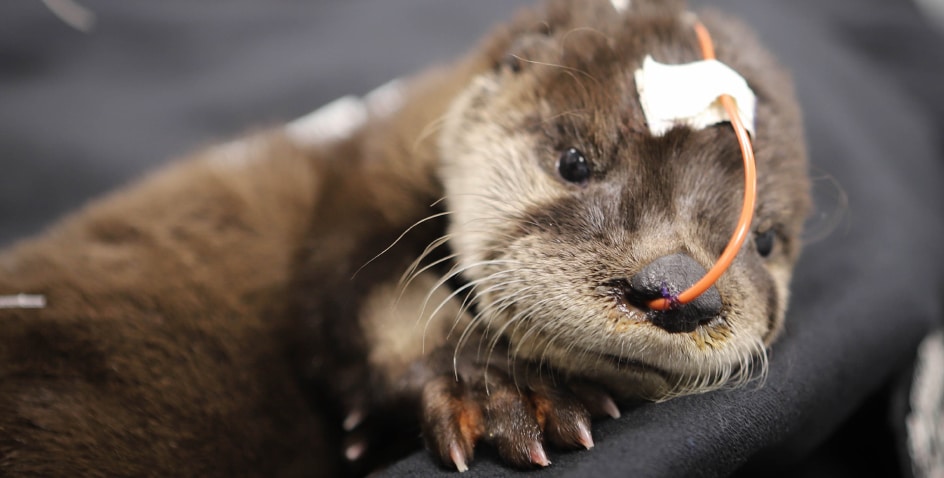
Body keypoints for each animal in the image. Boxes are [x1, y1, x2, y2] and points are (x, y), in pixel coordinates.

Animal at [0, 0, 809, 476]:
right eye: (575, 161)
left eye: (766, 241)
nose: (675, 286)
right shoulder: (354, 194)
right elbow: (374, 297)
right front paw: (500, 389)